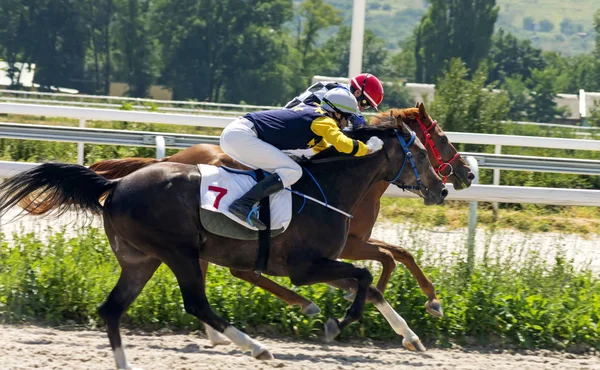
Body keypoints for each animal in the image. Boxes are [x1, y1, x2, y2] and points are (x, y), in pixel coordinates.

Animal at [0, 120, 446, 368]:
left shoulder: (323, 262)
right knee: (197, 302)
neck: (329, 187)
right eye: (423, 152)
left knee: (112, 309)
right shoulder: (305, 267)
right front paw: (338, 322)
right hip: (177, 252)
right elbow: (366, 276)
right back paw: (257, 348)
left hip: (141, 260)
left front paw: (410, 335)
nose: (442, 188)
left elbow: (368, 283)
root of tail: (116, 184)